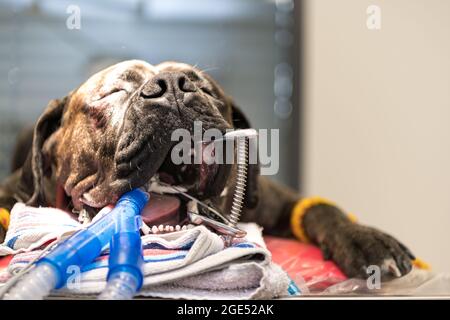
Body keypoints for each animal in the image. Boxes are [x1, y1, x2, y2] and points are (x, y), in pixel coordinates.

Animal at [0, 60, 414, 280]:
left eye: (206, 90)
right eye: (114, 93)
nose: (171, 85)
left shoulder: (275, 201)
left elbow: (323, 210)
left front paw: (364, 239)